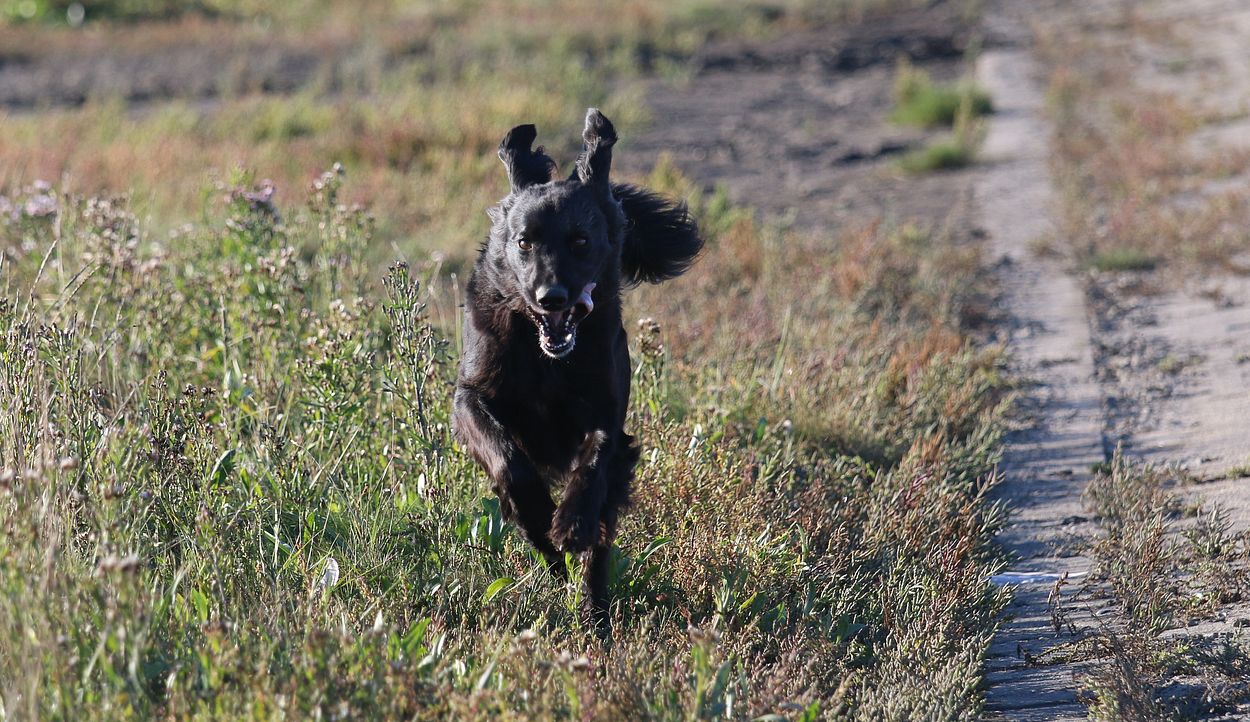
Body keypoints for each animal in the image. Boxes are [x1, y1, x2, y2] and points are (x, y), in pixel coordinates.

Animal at [452, 108, 703, 631]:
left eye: (581, 240)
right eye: (524, 242)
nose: (551, 298)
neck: (546, 358)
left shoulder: (607, 412)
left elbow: (595, 461)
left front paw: (571, 523)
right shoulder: (470, 396)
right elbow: (509, 461)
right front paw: (539, 521)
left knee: (599, 549)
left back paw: (594, 616)